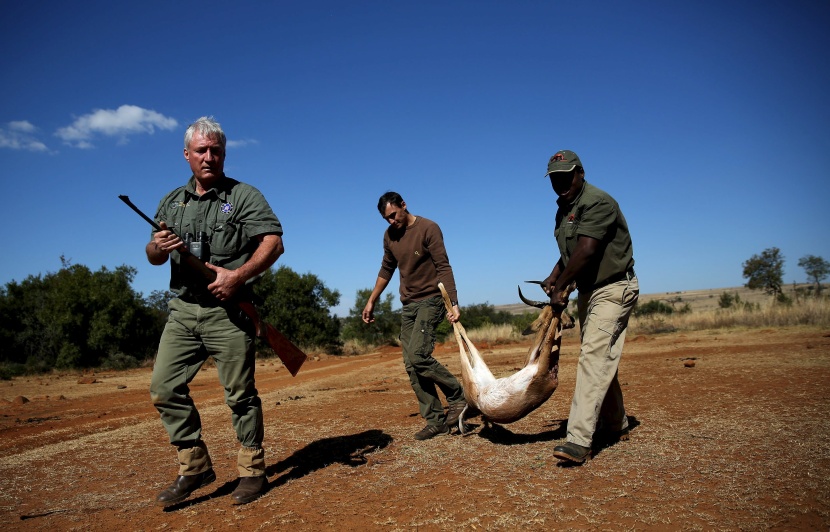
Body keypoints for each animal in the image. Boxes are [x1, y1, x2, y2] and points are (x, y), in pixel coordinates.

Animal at [438, 280, 576, 434]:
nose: (572, 320)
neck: (552, 368)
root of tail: (473, 403)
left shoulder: (535, 361)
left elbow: (548, 327)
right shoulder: (535, 360)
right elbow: (549, 325)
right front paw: (565, 294)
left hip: (475, 369)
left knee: (461, 332)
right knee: (459, 331)